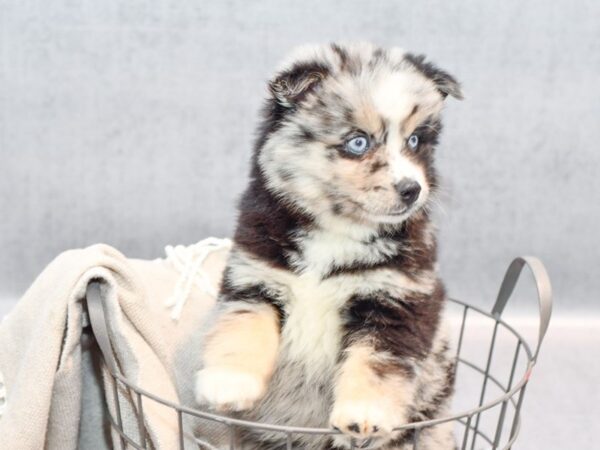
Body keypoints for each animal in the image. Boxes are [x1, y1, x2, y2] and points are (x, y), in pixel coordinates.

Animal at [195, 43, 462, 450]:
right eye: (358, 142)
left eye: (415, 141)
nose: (412, 190)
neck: (336, 231)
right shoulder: (255, 277)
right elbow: (240, 327)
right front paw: (228, 382)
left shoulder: (398, 299)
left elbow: (377, 361)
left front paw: (364, 416)